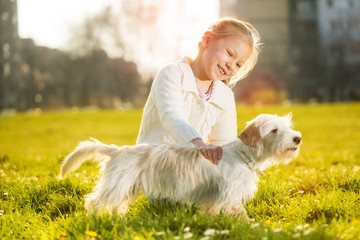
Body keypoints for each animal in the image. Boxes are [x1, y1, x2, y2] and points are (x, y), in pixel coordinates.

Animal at [58, 114, 300, 218]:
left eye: (287, 127)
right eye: (274, 130)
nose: (297, 138)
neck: (242, 155)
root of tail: (117, 150)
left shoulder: (216, 195)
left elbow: (211, 211)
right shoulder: (231, 196)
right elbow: (240, 215)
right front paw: (253, 226)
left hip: (127, 187)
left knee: (116, 204)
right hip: (116, 186)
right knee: (94, 203)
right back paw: (98, 220)